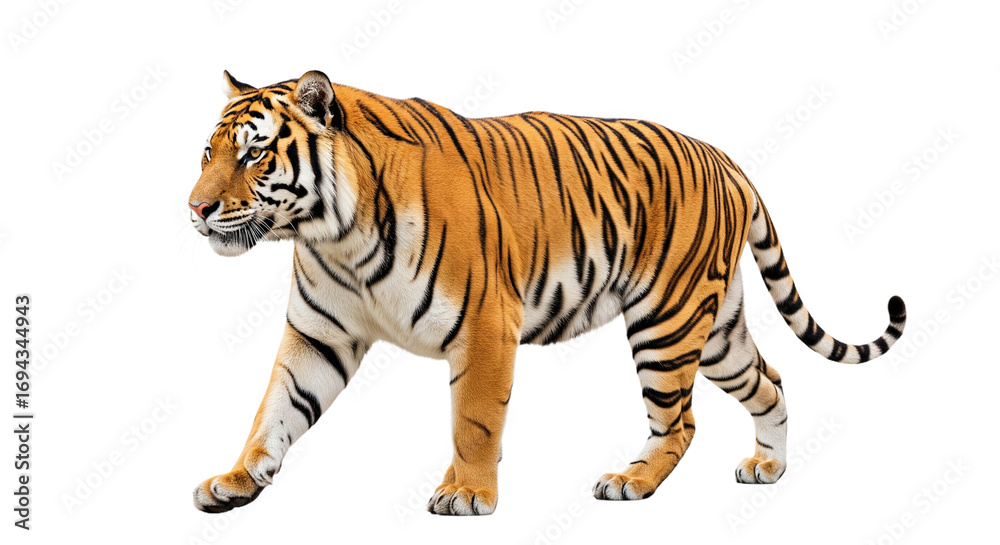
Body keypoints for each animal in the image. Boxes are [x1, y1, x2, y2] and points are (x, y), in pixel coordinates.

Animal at [188, 70, 906, 515]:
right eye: (207, 153)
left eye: (253, 155)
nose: (195, 209)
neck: (331, 232)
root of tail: (724, 158)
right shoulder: (319, 334)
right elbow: (275, 410)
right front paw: (236, 480)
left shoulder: (484, 323)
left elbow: (474, 421)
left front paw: (466, 495)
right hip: (716, 330)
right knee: (771, 379)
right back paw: (768, 467)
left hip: (667, 321)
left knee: (680, 421)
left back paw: (631, 481)